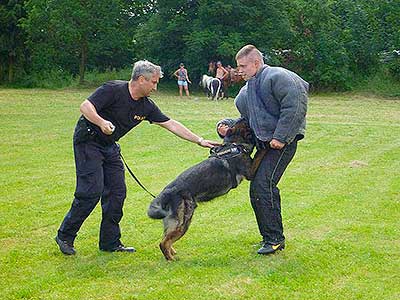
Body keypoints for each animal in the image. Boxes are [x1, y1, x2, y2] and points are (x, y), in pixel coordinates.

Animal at [147, 119, 266, 260]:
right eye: (242, 123)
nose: (242, 118)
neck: (234, 144)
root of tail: (167, 192)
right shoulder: (250, 172)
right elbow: (260, 154)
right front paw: (268, 145)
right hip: (184, 221)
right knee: (163, 242)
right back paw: (171, 259)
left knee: (166, 238)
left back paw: (172, 252)